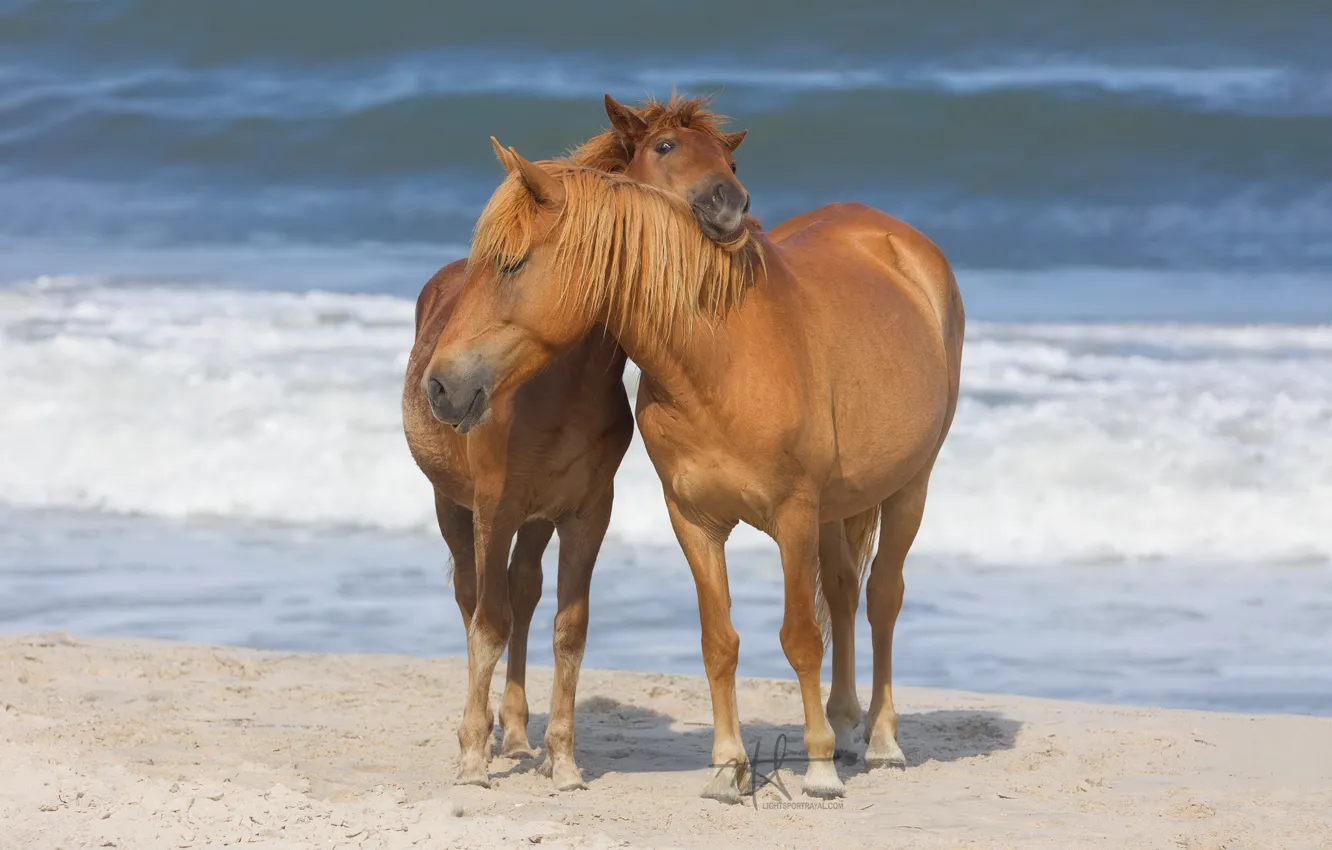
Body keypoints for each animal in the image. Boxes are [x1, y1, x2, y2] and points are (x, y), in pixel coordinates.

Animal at [402, 94, 752, 791]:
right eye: (666, 148)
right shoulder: (493, 507)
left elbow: (569, 627)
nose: (732, 202)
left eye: (730, 161)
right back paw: (487, 736)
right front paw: (471, 759)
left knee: (523, 592)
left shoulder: (588, 512)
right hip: (454, 506)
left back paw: (515, 735)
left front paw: (562, 761)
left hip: (537, 520)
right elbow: (487, 623)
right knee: (475, 600)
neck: (555, 389)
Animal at [422, 147, 964, 803]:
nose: (439, 386)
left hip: (911, 486)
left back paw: (881, 741)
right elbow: (718, 642)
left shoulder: (793, 516)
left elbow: (800, 638)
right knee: (841, 591)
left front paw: (818, 771)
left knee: (883, 597)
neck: (719, 362)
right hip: (838, 508)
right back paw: (844, 726)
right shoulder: (695, 520)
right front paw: (727, 770)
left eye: (510, 264)